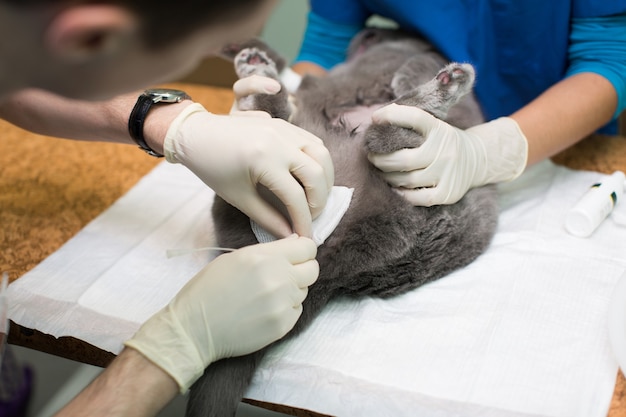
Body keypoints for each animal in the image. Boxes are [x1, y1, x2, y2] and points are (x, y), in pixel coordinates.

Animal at [183, 29, 494, 416]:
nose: (367, 34)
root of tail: (327, 268)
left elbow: (414, 62)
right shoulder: (320, 80)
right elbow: (297, 75)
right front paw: (246, 50)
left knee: (383, 133)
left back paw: (450, 81)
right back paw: (258, 74)